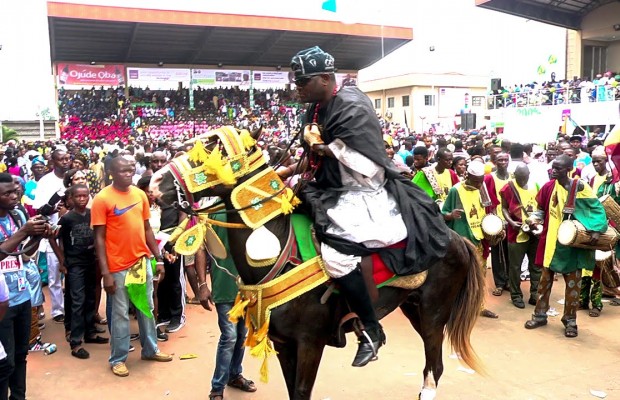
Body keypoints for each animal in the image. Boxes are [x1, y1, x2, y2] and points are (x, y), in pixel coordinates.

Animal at [153, 130, 486, 398]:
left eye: (212, 151)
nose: (155, 182)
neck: (278, 253)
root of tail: (455, 238)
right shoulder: (284, 343)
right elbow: (293, 392)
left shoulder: (310, 342)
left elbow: (302, 392)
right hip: (412, 306)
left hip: (434, 312)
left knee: (435, 364)